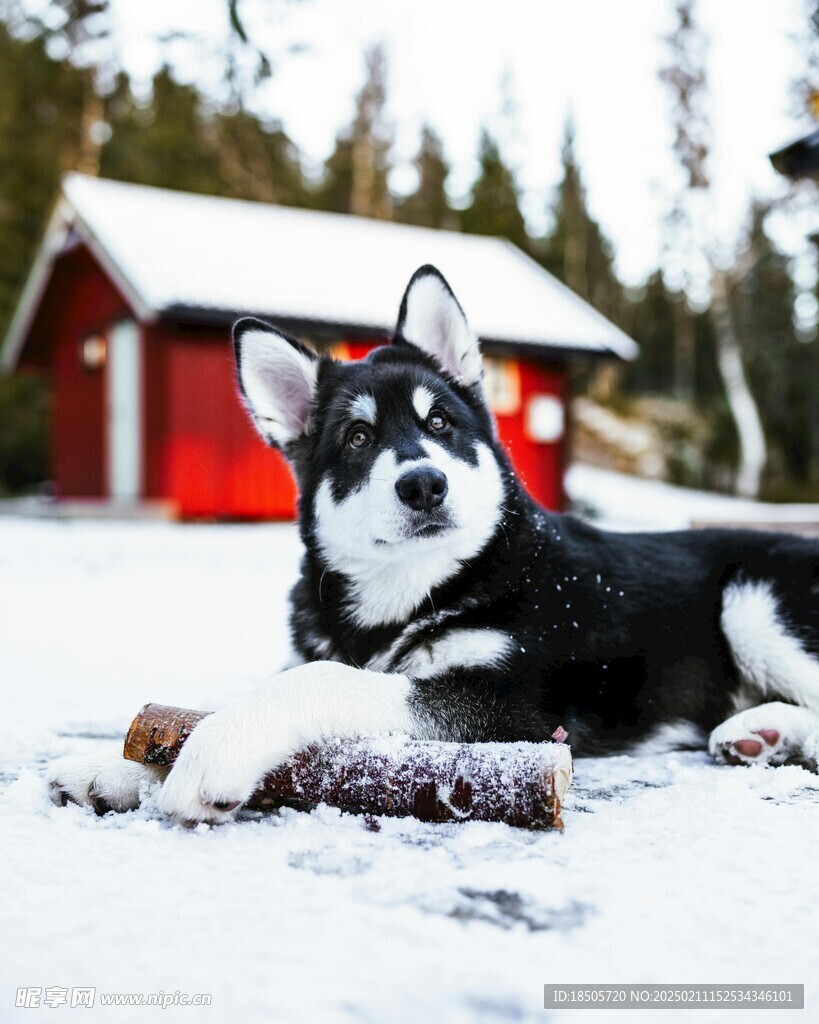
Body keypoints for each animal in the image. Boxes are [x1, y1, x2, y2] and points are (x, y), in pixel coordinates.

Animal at [48, 266, 818, 823]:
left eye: (441, 423)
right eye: (358, 437)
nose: (423, 483)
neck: (415, 591)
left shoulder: (512, 706)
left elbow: (321, 680)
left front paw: (214, 753)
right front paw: (115, 768)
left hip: (755, 602)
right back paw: (761, 732)